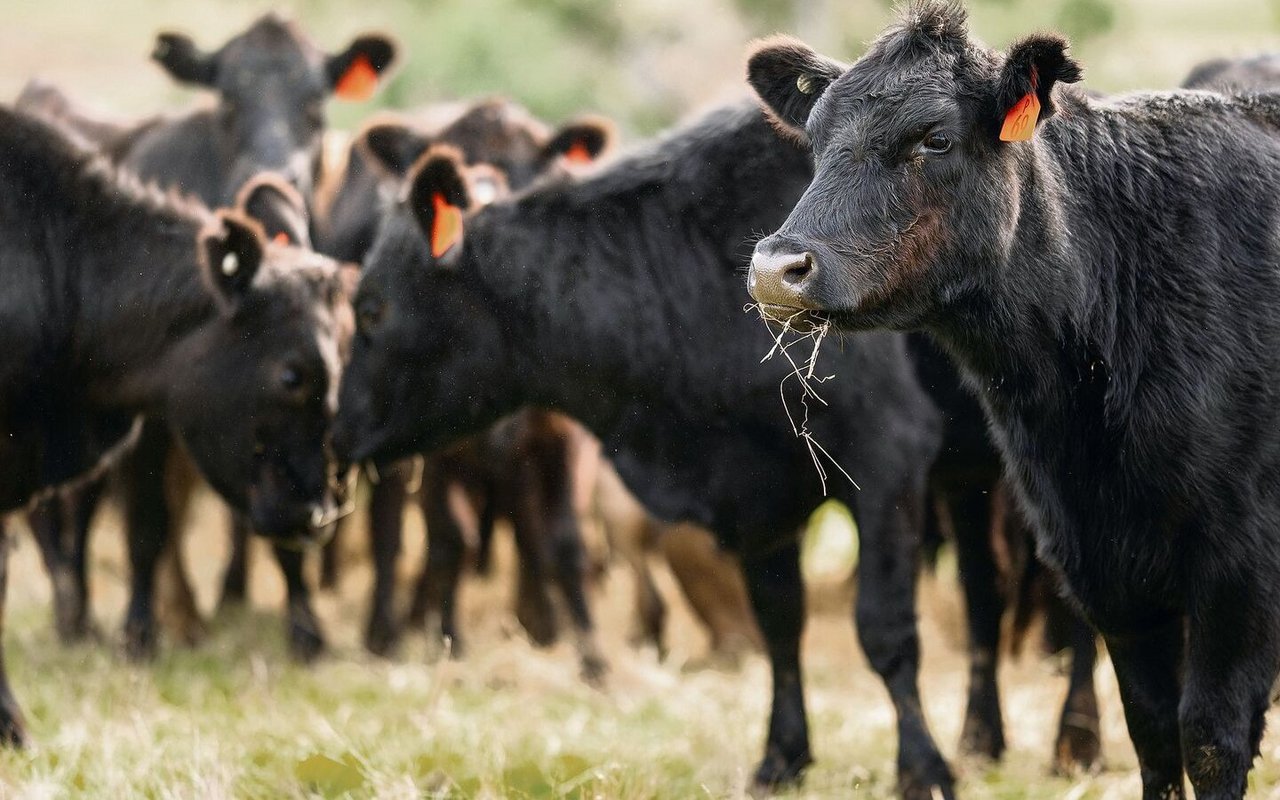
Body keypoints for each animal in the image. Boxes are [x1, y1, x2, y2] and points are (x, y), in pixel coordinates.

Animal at [335, 103, 957, 793]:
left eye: (371, 308)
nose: (339, 428)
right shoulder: (759, 495)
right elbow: (778, 624)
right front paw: (782, 756)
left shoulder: (888, 459)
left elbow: (885, 630)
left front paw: (923, 768)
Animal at [747, 4, 1280, 793]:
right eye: (814, 141)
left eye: (934, 138)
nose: (776, 269)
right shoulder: (1102, 563)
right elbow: (1153, 733)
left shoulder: (1237, 567)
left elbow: (1210, 738)